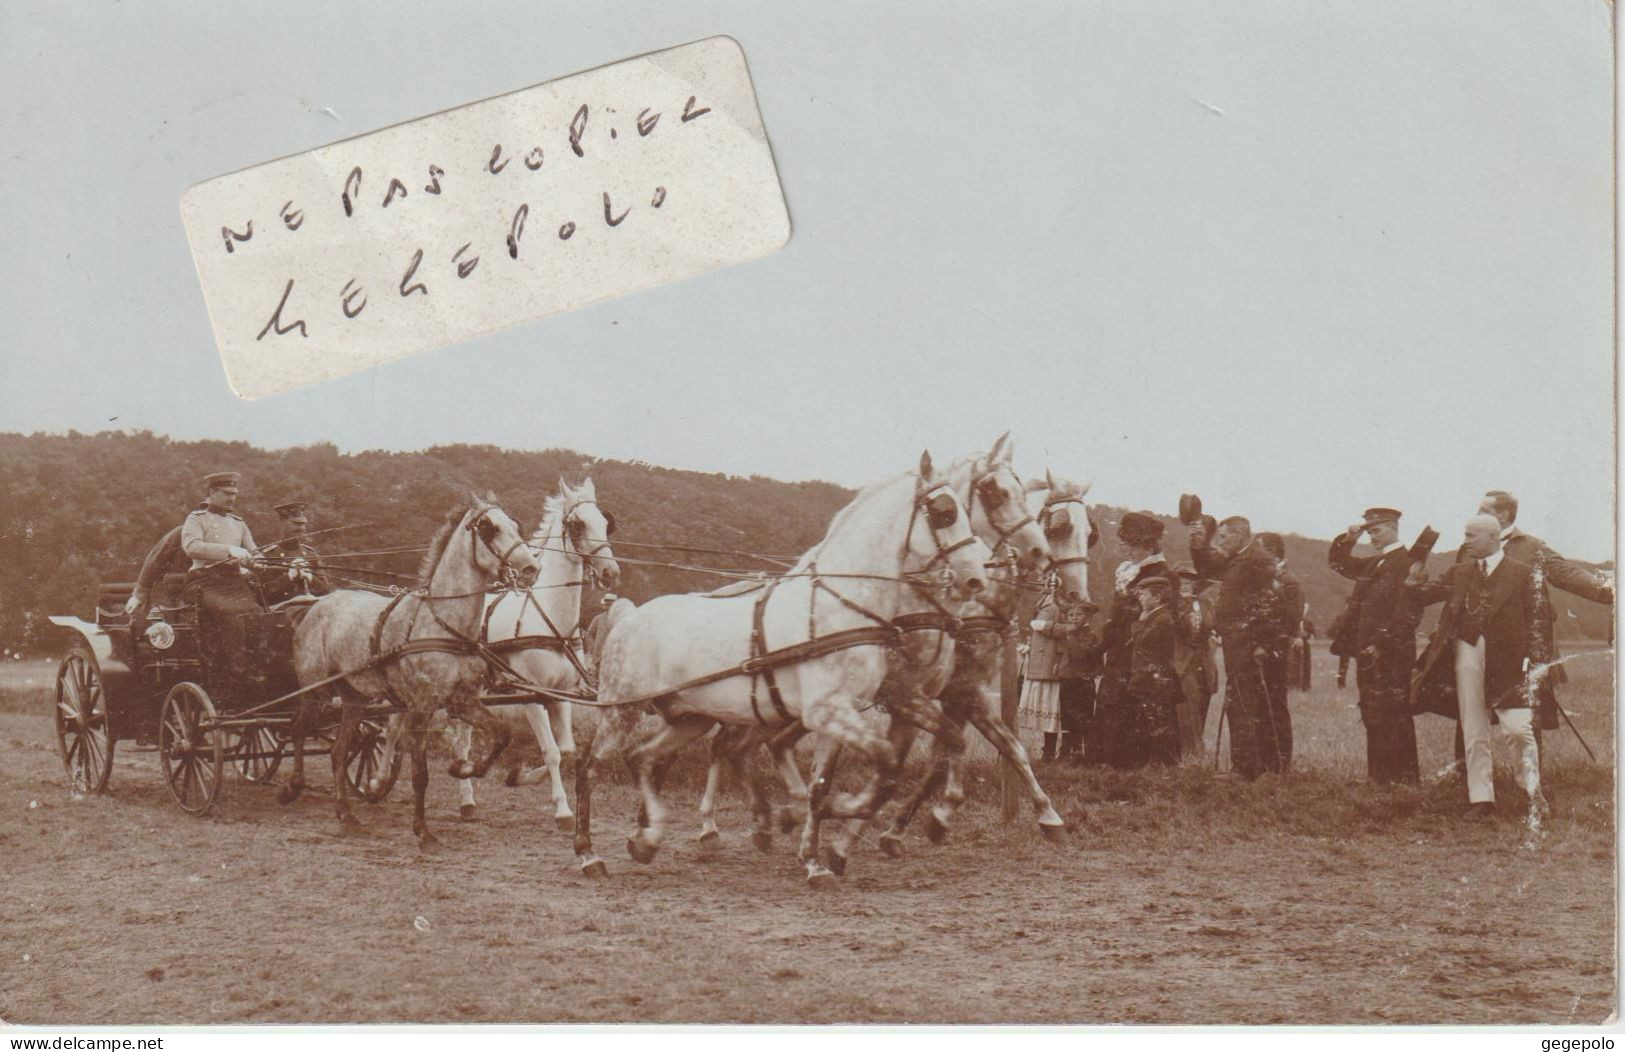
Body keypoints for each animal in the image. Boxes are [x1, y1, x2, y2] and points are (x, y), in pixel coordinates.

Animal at [578, 452, 994, 878]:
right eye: (944, 512)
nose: (976, 579)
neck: (840, 604)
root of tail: (628, 619)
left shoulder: (840, 713)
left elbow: (824, 782)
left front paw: (814, 858)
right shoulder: (827, 710)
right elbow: (886, 762)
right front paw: (836, 813)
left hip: (690, 716)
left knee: (644, 757)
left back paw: (647, 840)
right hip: (621, 711)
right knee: (589, 768)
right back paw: (589, 854)